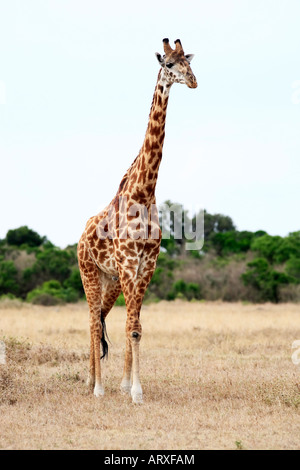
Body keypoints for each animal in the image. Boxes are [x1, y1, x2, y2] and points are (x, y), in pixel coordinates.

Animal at [77, 37, 197, 404]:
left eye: (189, 62)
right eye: (169, 65)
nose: (193, 81)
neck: (144, 193)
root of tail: (80, 237)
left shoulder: (146, 265)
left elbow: (135, 327)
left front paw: (128, 386)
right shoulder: (130, 262)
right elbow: (131, 327)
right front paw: (135, 392)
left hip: (110, 280)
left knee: (101, 319)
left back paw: (94, 381)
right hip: (89, 272)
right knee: (91, 321)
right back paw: (96, 388)